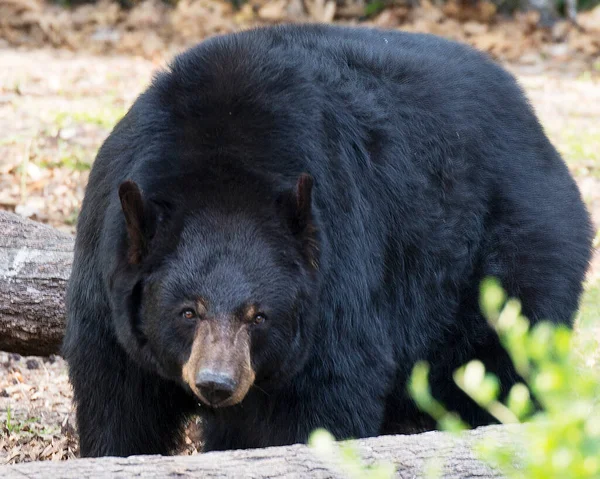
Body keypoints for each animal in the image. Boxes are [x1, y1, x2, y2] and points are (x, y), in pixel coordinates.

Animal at [62, 24, 596, 460]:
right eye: (187, 311)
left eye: (259, 316)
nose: (217, 383)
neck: (222, 173)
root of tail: (538, 131)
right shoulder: (106, 285)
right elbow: (117, 399)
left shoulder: (336, 284)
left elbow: (325, 395)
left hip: (512, 260)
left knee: (505, 365)